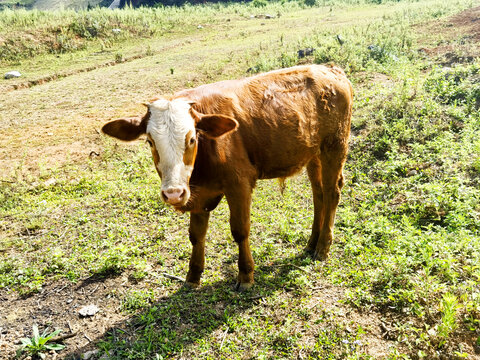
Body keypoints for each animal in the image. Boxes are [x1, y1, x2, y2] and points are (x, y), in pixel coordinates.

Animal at [102, 64, 352, 290]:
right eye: (150, 142)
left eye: (192, 138)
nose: (173, 193)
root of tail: (330, 69)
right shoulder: (197, 194)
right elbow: (196, 235)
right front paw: (193, 276)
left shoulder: (239, 184)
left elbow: (240, 230)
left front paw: (246, 275)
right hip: (313, 153)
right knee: (318, 193)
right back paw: (312, 242)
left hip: (335, 145)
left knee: (332, 192)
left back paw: (323, 247)